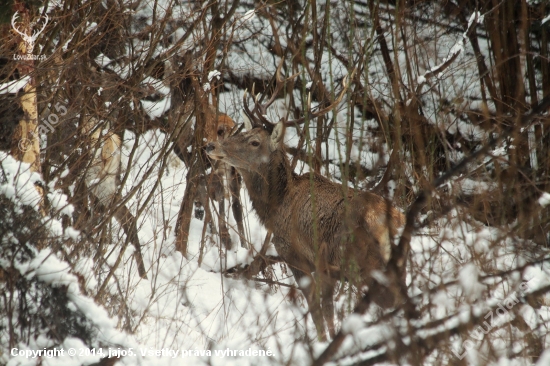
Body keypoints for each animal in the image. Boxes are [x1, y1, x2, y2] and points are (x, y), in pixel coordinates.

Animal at [206, 66, 406, 340]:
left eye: (254, 142)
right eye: (243, 132)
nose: (210, 146)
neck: (277, 206)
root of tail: (392, 220)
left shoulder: (294, 255)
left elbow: (317, 312)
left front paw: (322, 341)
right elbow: (327, 312)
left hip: (363, 264)